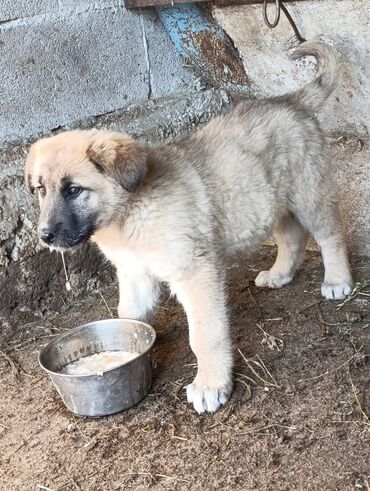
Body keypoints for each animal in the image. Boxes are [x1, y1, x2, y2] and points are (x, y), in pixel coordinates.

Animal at [25, 41, 352, 416]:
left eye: (74, 190)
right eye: (40, 190)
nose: (45, 236)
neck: (128, 214)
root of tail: (291, 100)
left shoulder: (196, 273)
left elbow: (205, 336)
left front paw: (211, 385)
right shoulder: (135, 273)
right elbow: (128, 314)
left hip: (309, 192)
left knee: (330, 234)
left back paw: (337, 280)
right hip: (270, 200)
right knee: (291, 236)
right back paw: (279, 273)